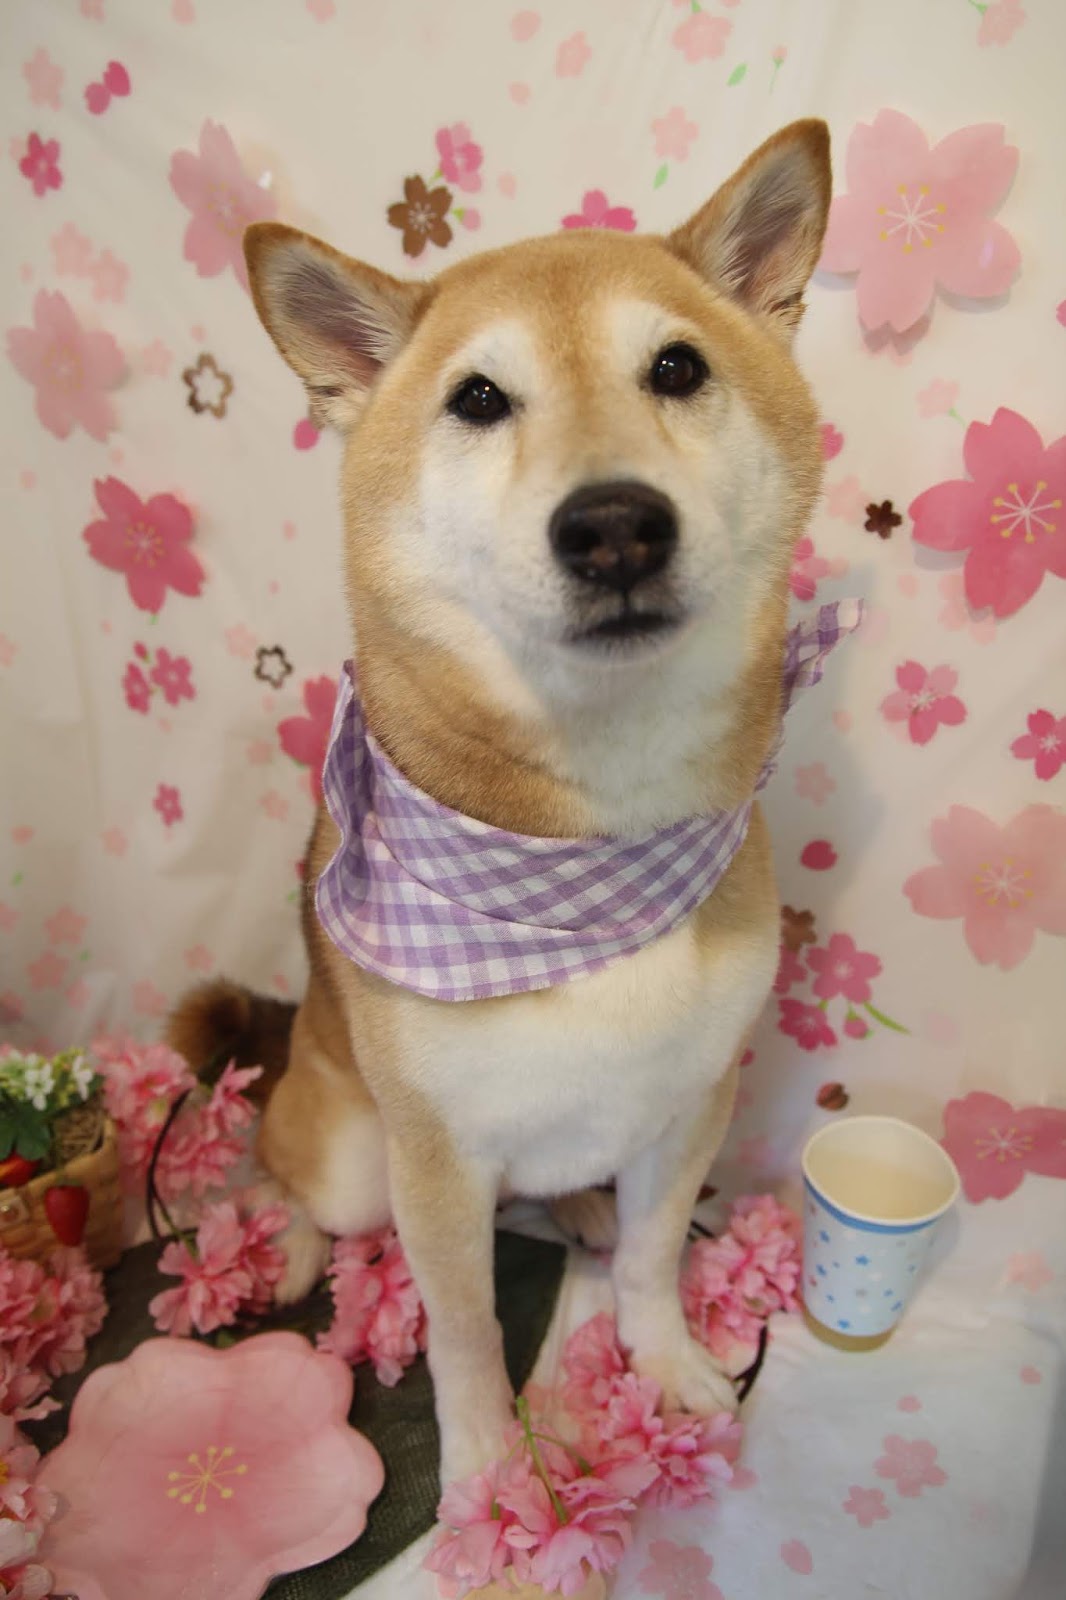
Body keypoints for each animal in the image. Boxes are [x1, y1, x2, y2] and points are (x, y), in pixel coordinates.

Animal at [168, 119, 833, 1488]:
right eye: (478, 398)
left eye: (677, 367)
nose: (616, 524)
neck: (587, 851)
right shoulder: (437, 1160)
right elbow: (464, 1323)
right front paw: (483, 1471)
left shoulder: (691, 1104)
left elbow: (652, 1257)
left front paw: (668, 1361)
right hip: (351, 1151)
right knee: (281, 1178)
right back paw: (292, 1248)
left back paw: (574, 1204)